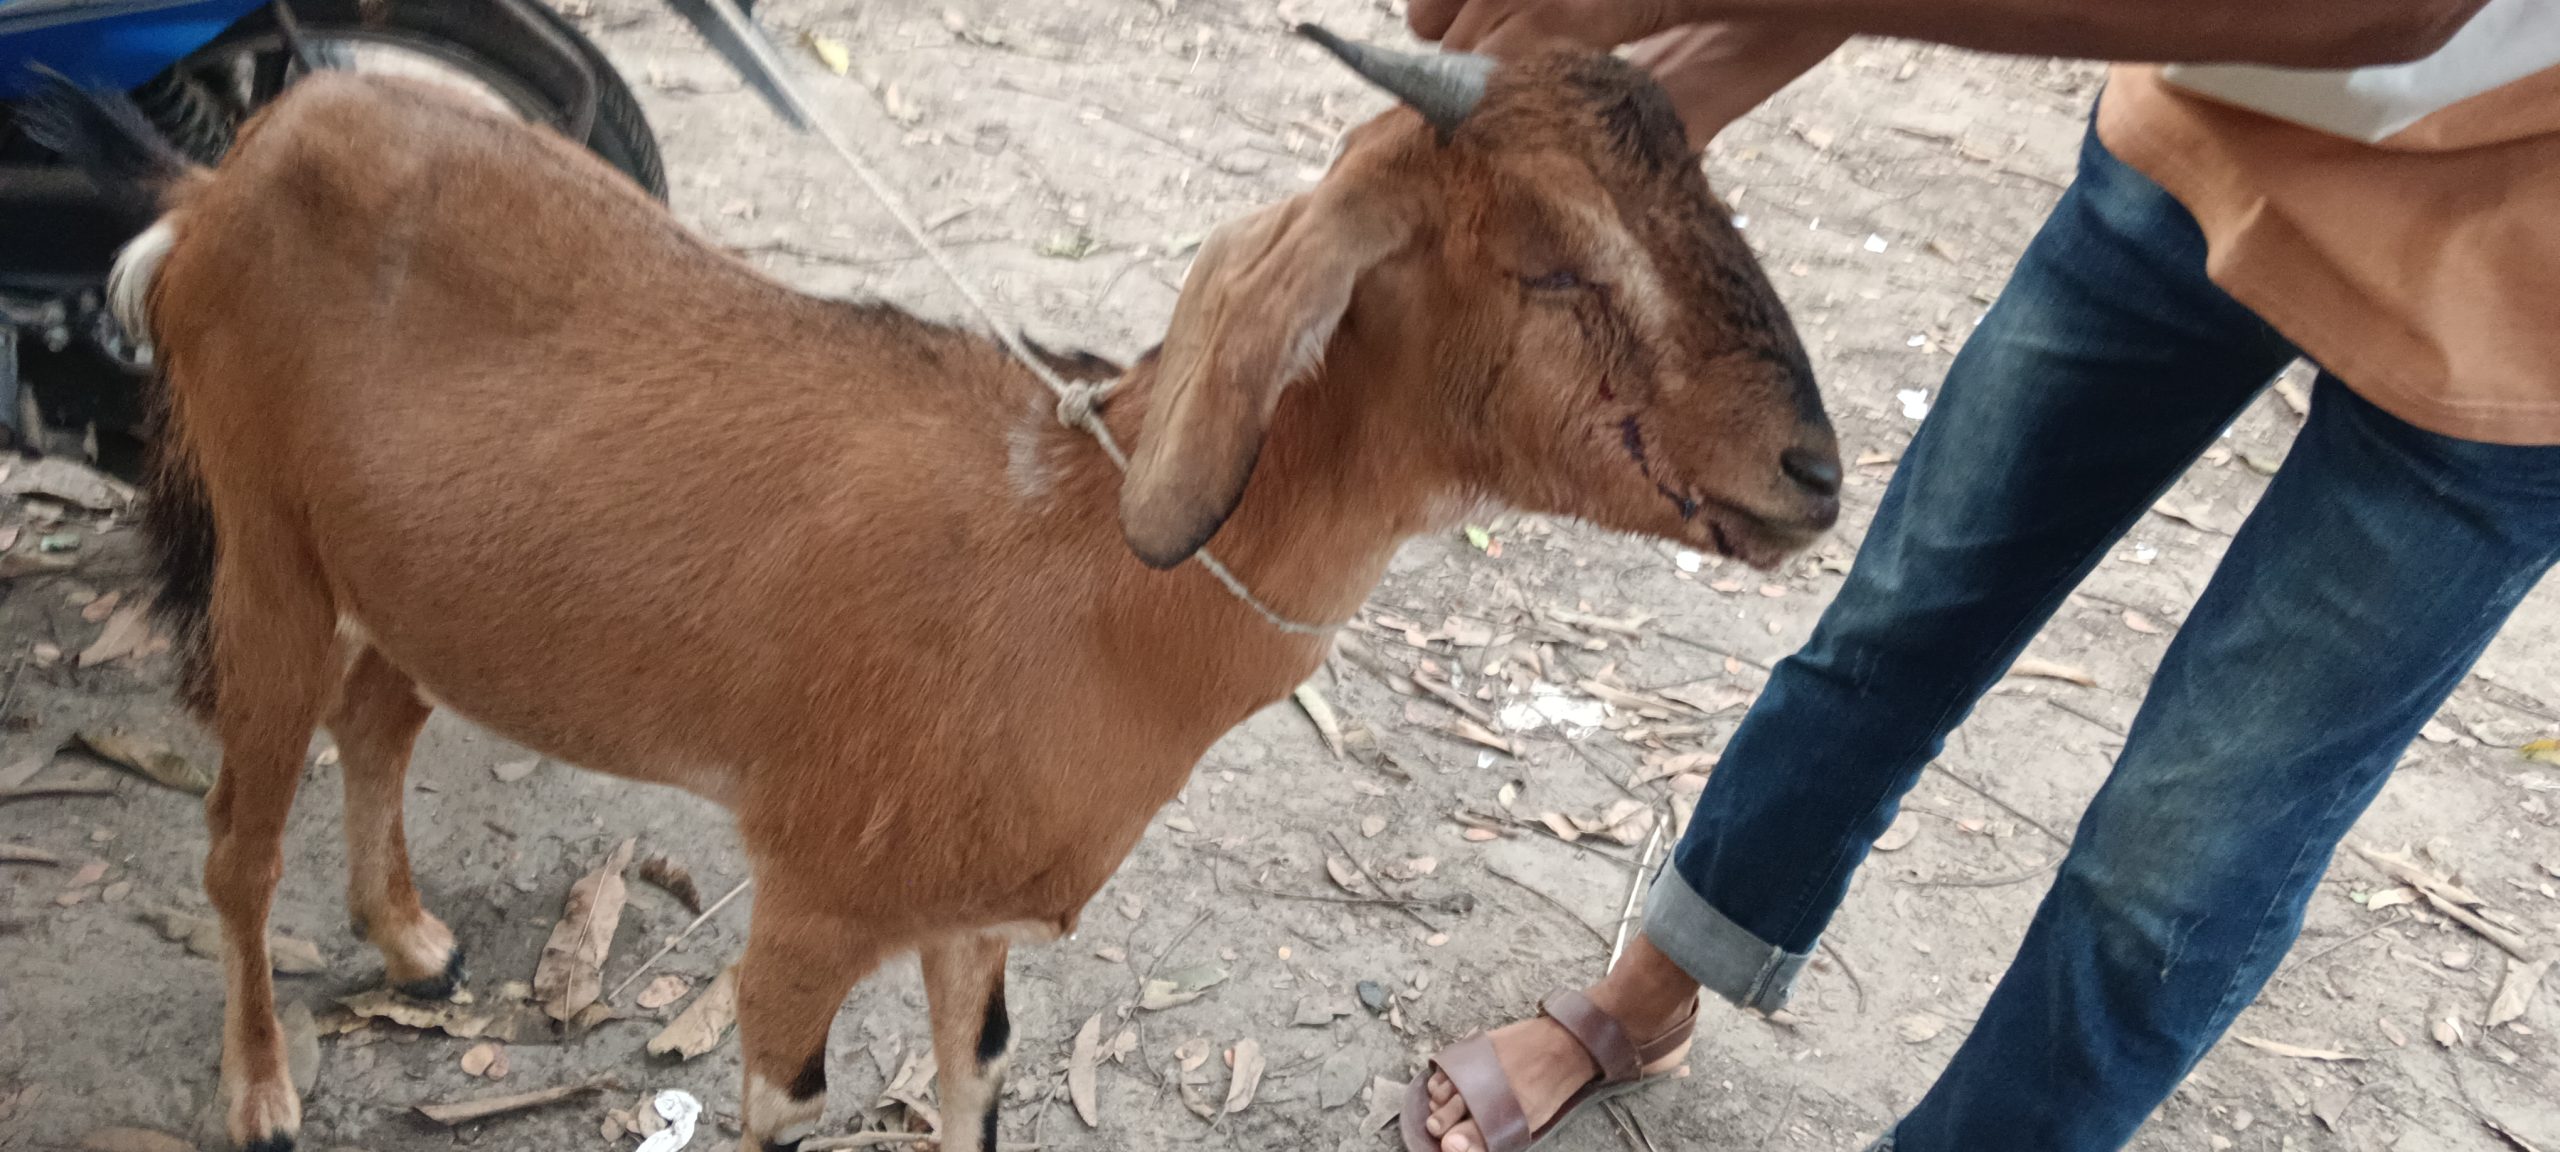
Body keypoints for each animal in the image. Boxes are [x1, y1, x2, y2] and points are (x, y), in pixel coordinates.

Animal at [45, 27, 1837, 1152]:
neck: (1081, 584)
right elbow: (787, 1100)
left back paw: (410, 937)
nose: (1815, 473)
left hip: (407, 573)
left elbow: (975, 1085)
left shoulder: (970, 917)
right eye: (1554, 262)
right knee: (235, 836)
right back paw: (261, 1091)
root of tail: (219, 182)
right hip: (265, 545)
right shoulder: (809, 903)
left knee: (381, 715)